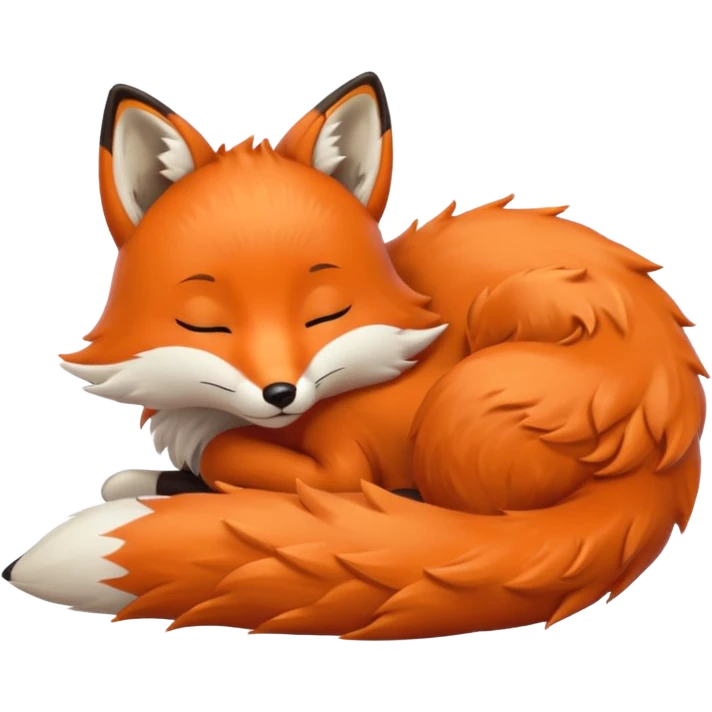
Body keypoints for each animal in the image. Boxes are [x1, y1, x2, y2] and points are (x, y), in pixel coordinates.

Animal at [3, 72, 707, 640]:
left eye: (324, 313)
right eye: (206, 323)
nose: (280, 394)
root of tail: (671, 445)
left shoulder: (343, 462)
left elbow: (241, 460)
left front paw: (204, 475)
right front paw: (147, 479)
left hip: (473, 390)